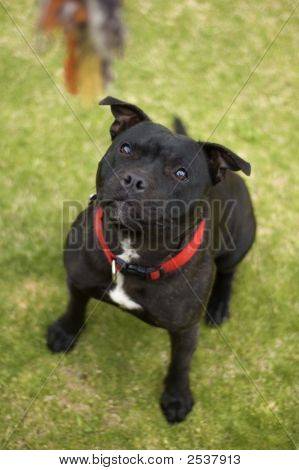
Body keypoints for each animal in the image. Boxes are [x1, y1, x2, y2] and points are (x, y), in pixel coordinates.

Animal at [48, 97, 256, 424]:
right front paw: (65, 332)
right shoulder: (78, 279)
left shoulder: (185, 330)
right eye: (125, 149)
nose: (134, 180)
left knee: (228, 274)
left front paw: (177, 397)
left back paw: (219, 306)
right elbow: (74, 305)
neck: (131, 251)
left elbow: (180, 364)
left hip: (239, 243)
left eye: (181, 173)